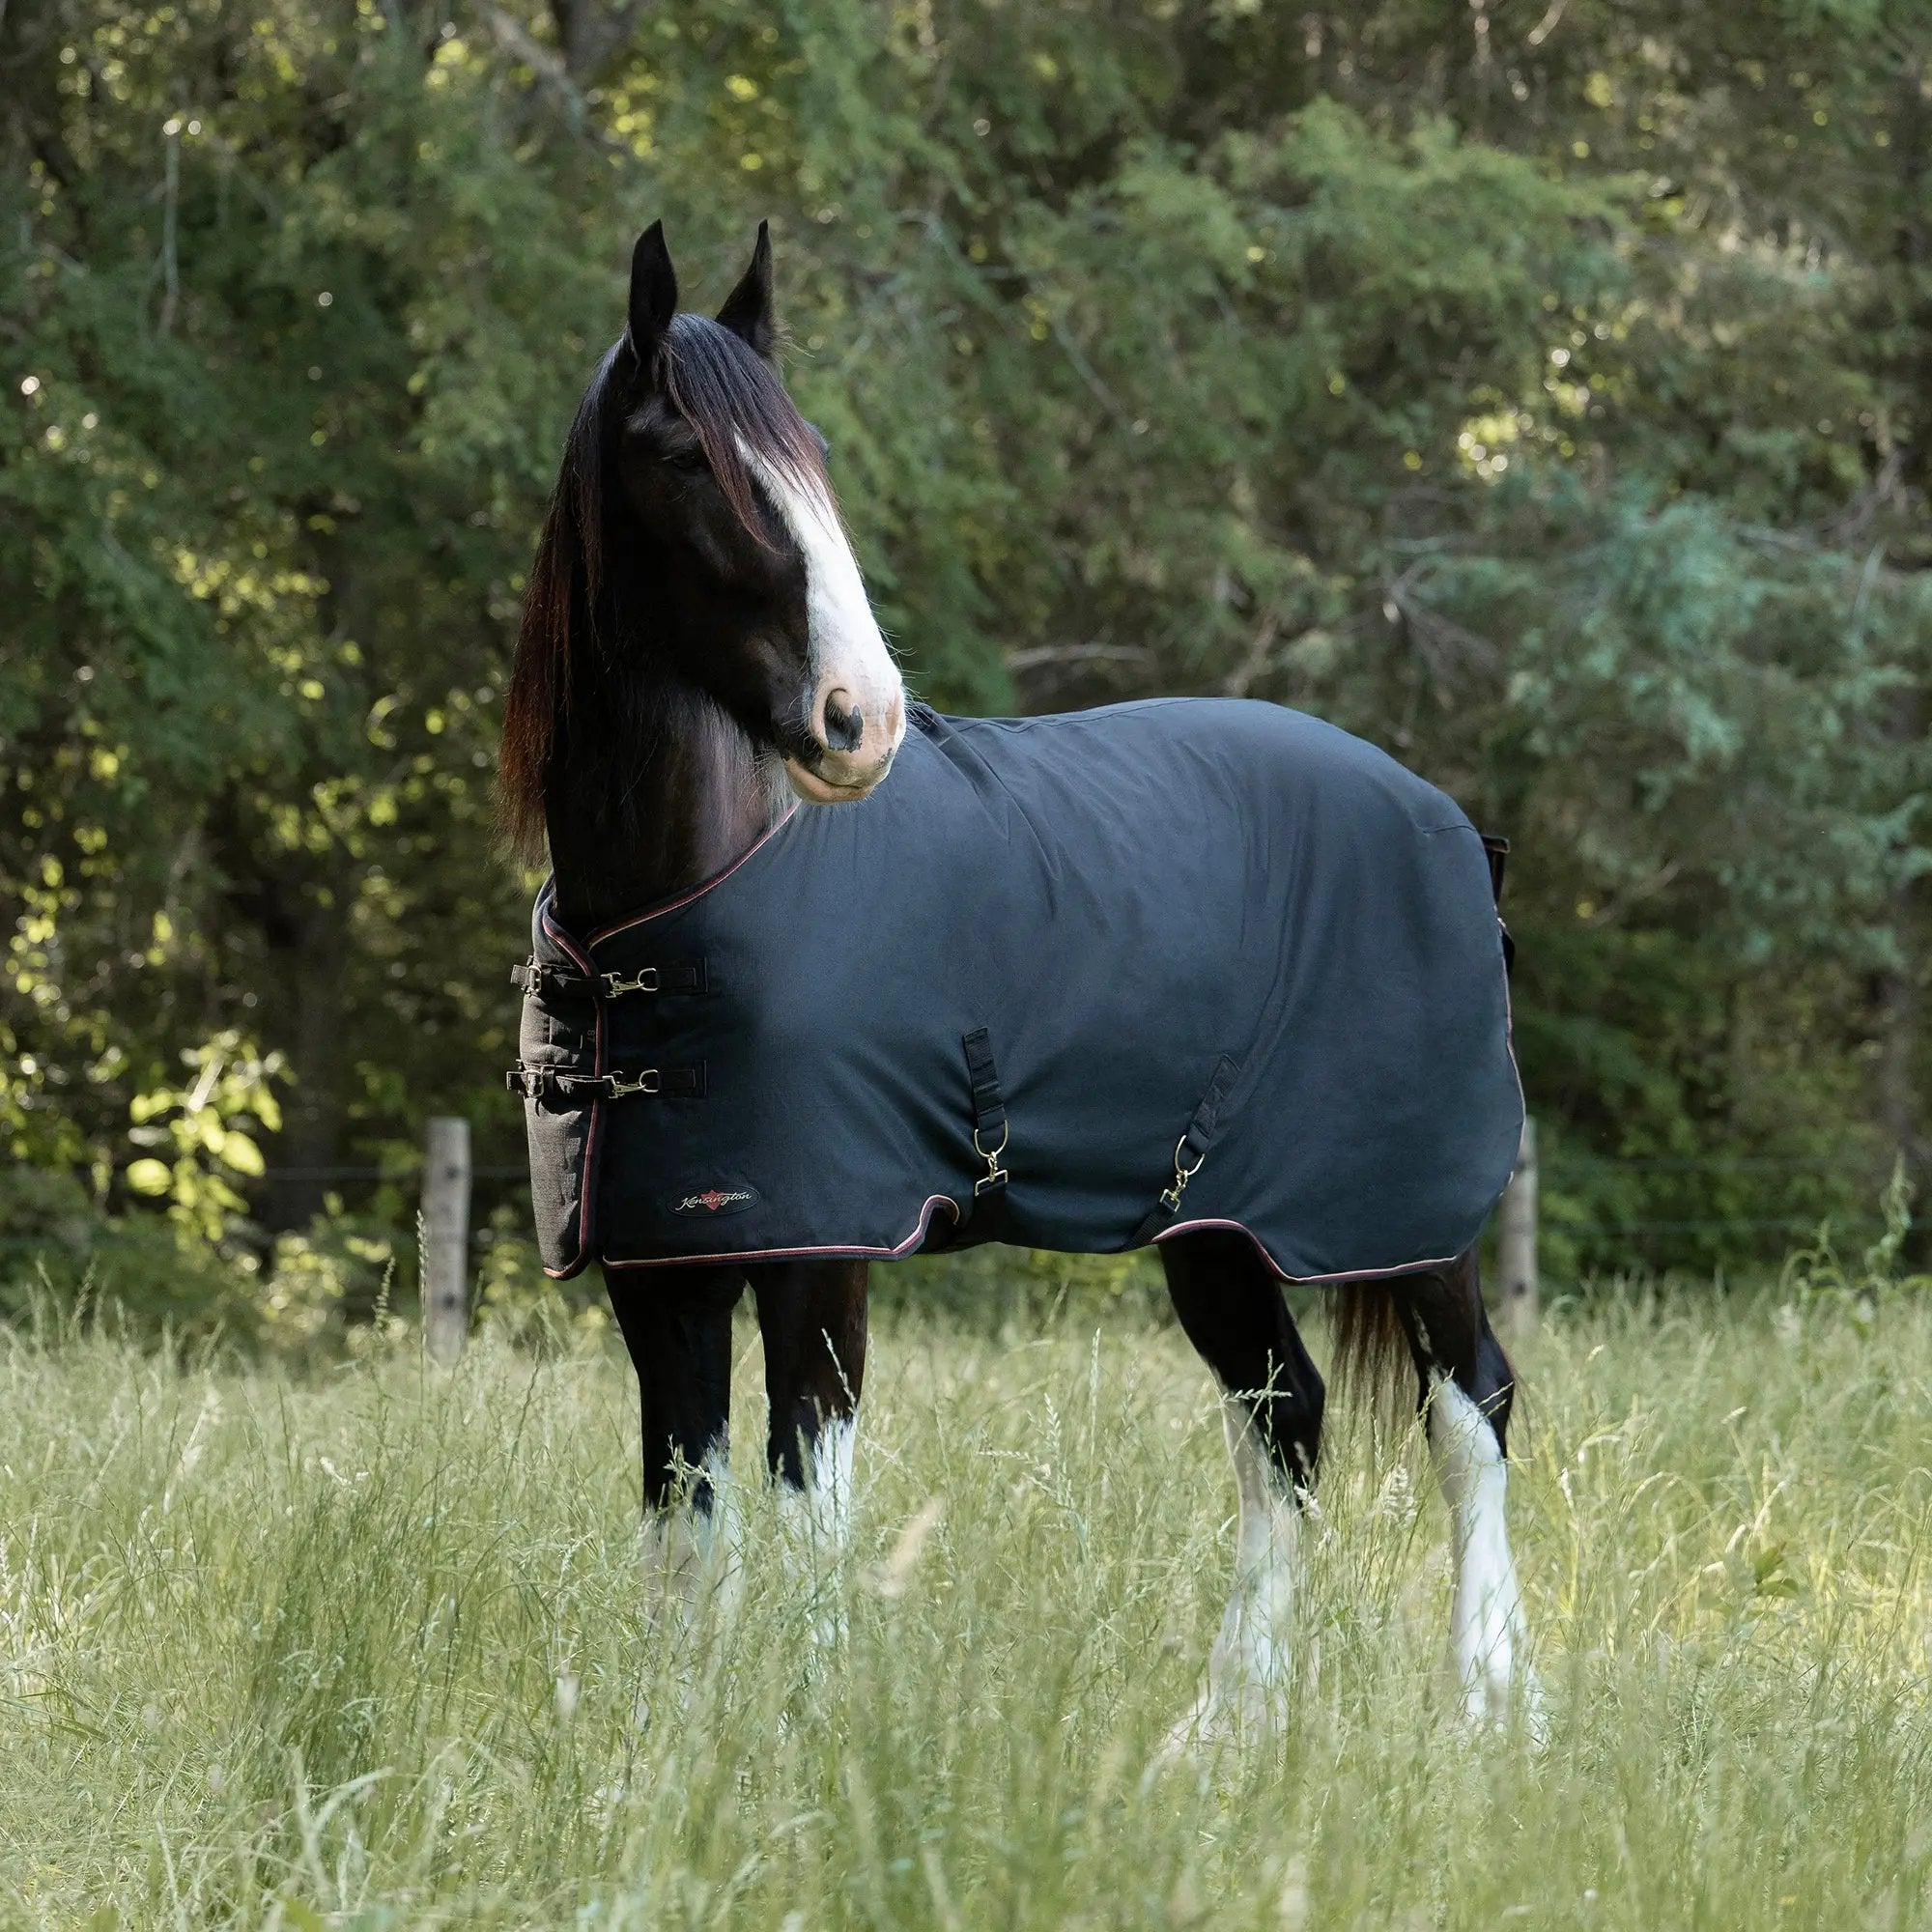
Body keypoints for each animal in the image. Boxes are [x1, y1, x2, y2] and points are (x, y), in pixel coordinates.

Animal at [499, 219, 1538, 1738]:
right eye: (689, 457)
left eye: (810, 453)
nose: (858, 719)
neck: (693, 904)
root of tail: (1450, 823)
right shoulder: (663, 1276)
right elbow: (684, 1527)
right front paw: (677, 1748)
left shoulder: (826, 1255)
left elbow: (807, 1503)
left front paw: (806, 1737)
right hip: (1218, 1231)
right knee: (1284, 1422)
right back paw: (1225, 1732)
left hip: (1407, 1220)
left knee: (1470, 1414)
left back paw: (1490, 1711)